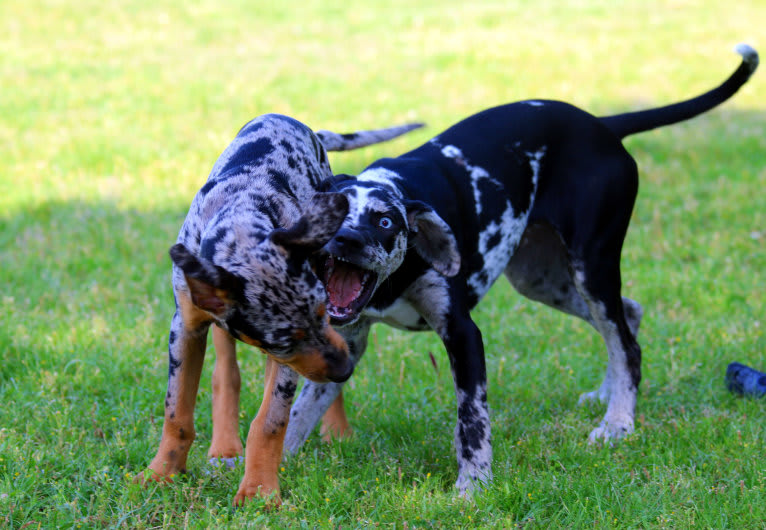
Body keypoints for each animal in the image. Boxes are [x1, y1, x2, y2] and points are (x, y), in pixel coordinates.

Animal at [140, 113, 424, 502]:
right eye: (286, 341)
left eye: (321, 313)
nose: (344, 371)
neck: (241, 219)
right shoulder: (186, 327)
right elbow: (177, 412)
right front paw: (161, 473)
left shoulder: (300, 353)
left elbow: (270, 421)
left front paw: (259, 491)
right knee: (225, 373)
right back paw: (225, 447)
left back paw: (336, 431)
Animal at [284, 43, 760, 492]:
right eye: (331, 211)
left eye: (384, 221)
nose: (346, 240)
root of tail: (602, 124)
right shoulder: (348, 340)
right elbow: (298, 412)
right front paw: (276, 470)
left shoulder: (463, 334)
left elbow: (472, 420)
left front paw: (473, 487)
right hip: (542, 280)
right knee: (628, 318)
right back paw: (608, 396)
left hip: (592, 267)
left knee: (626, 343)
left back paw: (618, 423)